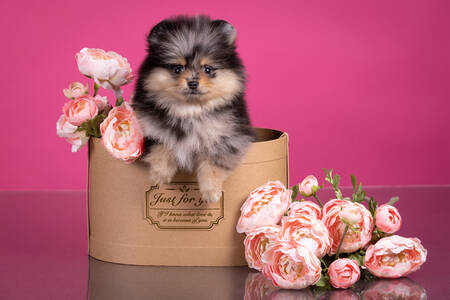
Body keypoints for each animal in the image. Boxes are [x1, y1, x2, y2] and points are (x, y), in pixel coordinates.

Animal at [132, 15, 255, 203]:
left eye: (208, 69)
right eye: (177, 68)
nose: (192, 82)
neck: (189, 111)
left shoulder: (227, 138)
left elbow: (212, 163)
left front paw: (211, 192)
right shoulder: (149, 128)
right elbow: (162, 143)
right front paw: (160, 174)